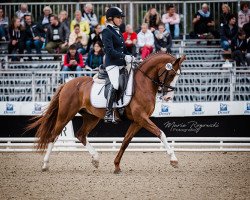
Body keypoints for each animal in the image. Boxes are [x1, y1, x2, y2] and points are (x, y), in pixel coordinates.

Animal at [27, 52, 186, 173]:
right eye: (171, 74)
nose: (168, 97)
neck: (142, 84)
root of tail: (67, 83)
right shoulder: (141, 117)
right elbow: (160, 133)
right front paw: (174, 159)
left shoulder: (138, 120)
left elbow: (126, 141)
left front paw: (116, 166)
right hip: (65, 114)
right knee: (53, 136)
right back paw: (45, 164)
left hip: (91, 117)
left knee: (81, 135)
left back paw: (96, 159)